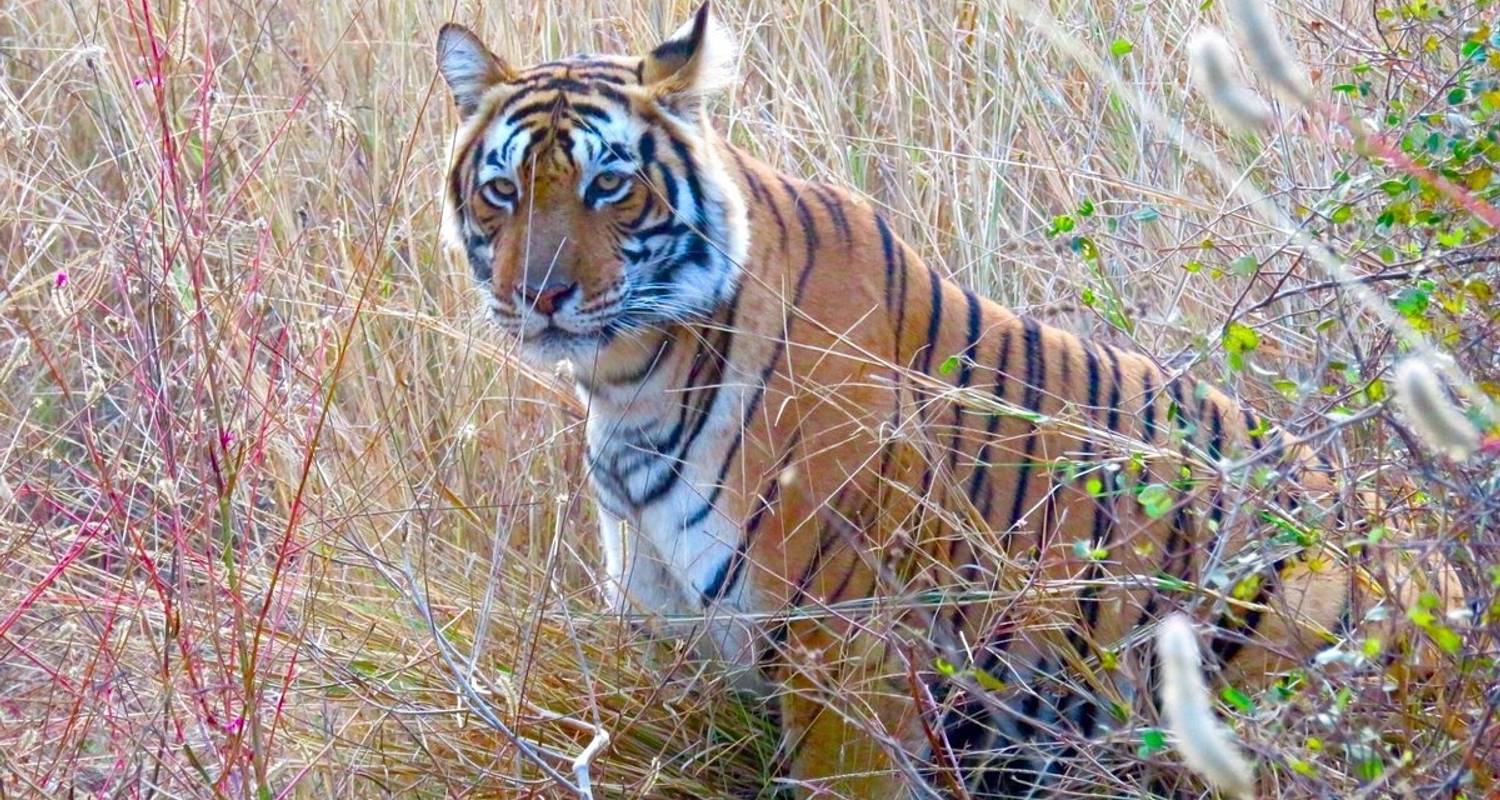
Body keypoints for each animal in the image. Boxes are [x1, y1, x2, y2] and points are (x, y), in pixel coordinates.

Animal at [435, 4, 1464, 792]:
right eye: (503, 189)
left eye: (610, 183)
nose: (539, 294)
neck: (632, 381)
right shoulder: (678, 641)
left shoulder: (840, 651)